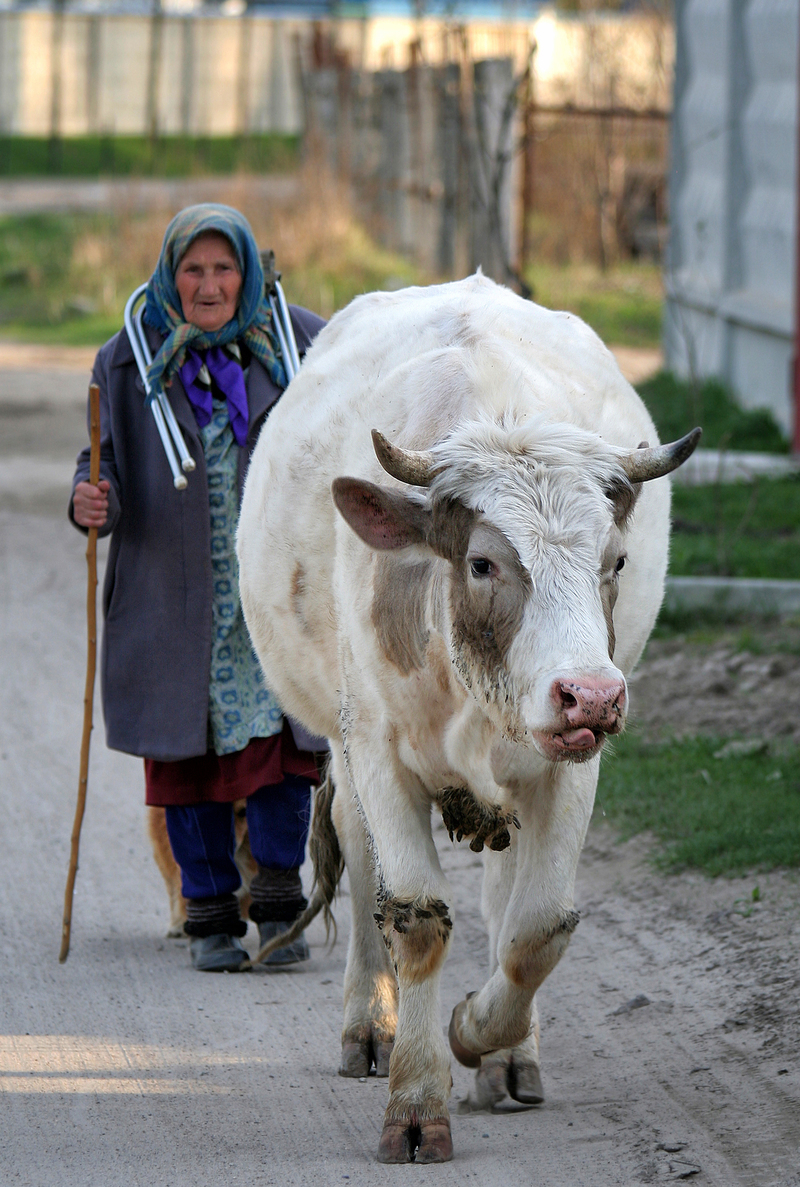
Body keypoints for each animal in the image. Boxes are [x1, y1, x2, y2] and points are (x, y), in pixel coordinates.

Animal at [236, 274, 700, 1164]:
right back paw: (368, 1025)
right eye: (483, 562)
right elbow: (415, 916)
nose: (592, 694)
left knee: (505, 896)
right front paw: (416, 1101)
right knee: (362, 859)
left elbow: (537, 926)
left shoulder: (571, 765)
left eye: (615, 561)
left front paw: (483, 1034)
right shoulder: (378, 750)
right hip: (342, 745)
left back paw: (508, 1057)